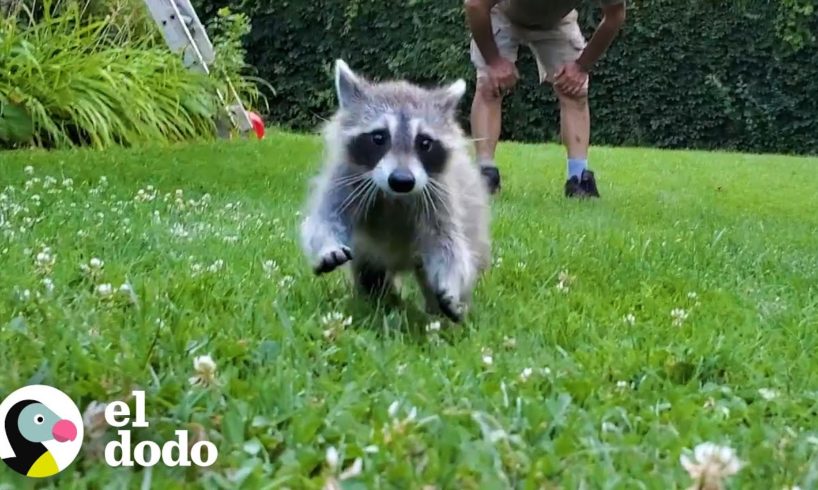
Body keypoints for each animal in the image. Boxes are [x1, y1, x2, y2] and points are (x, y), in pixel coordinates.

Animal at [300, 60, 490, 322]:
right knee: (370, 275)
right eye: (379, 137)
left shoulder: (441, 196)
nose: (402, 180)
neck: (395, 197)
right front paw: (327, 246)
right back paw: (381, 302)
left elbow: (448, 246)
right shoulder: (344, 179)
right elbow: (325, 219)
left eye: (424, 143)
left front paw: (450, 285)